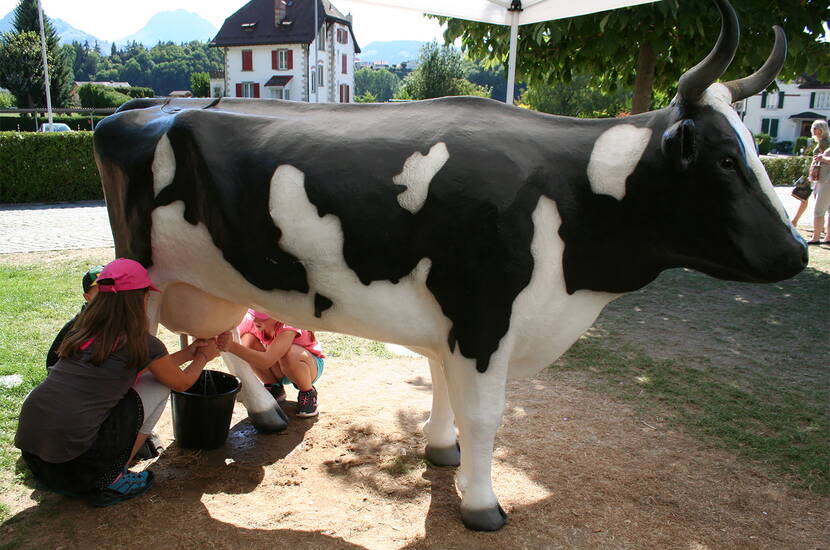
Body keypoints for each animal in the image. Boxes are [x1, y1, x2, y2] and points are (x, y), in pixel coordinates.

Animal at [92, 0, 808, 536]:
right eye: (723, 159)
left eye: (752, 148)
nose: (798, 253)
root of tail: (133, 108)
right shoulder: (483, 313)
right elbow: (484, 414)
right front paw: (482, 504)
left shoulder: (451, 314)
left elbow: (439, 386)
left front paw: (442, 454)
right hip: (144, 268)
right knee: (150, 345)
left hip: (208, 275)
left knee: (213, 336)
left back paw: (266, 412)